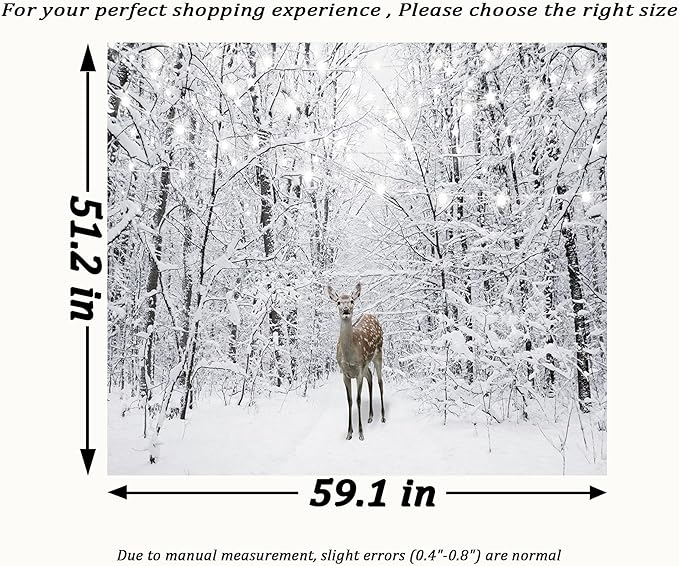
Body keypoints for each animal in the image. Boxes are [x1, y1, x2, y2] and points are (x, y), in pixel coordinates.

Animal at [327, 282, 385, 441]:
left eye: (352, 301)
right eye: (338, 302)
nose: (346, 310)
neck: (349, 357)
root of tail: (371, 315)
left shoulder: (358, 371)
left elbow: (358, 399)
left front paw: (361, 433)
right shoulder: (345, 373)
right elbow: (350, 400)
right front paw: (349, 432)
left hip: (379, 353)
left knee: (380, 381)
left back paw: (383, 417)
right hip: (366, 364)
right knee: (370, 377)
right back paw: (370, 416)